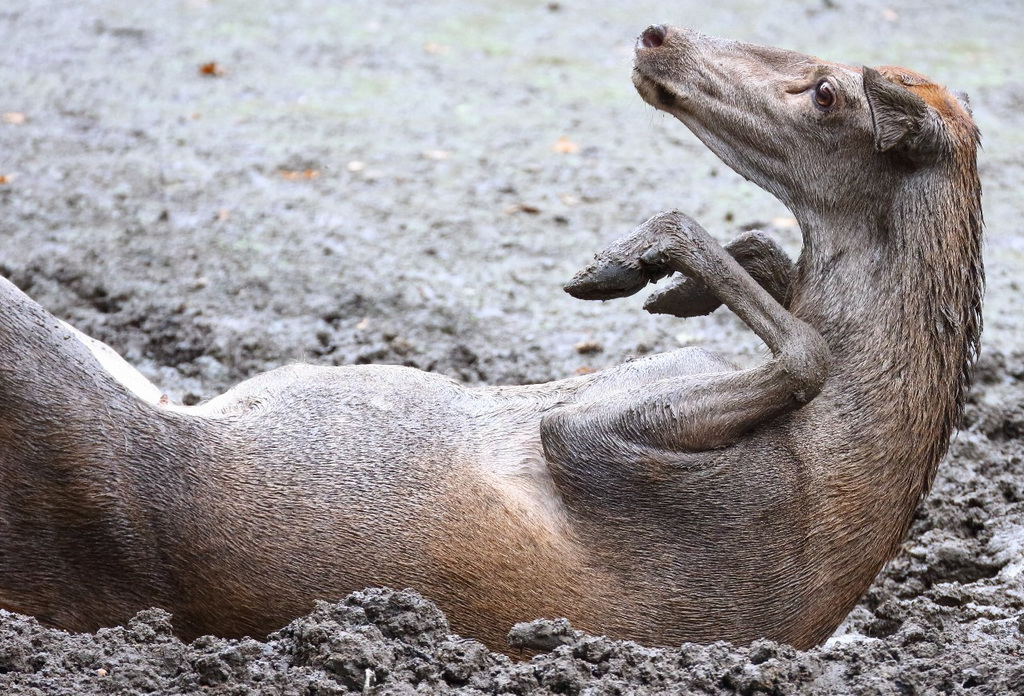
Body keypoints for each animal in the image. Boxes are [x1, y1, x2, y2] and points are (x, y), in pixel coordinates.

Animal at [0, 23, 983, 650]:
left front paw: (640, 255)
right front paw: (652, 276)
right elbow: (780, 294)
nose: (657, 34)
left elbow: (805, 348)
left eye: (826, 92)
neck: (851, 469)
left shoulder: (629, 467)